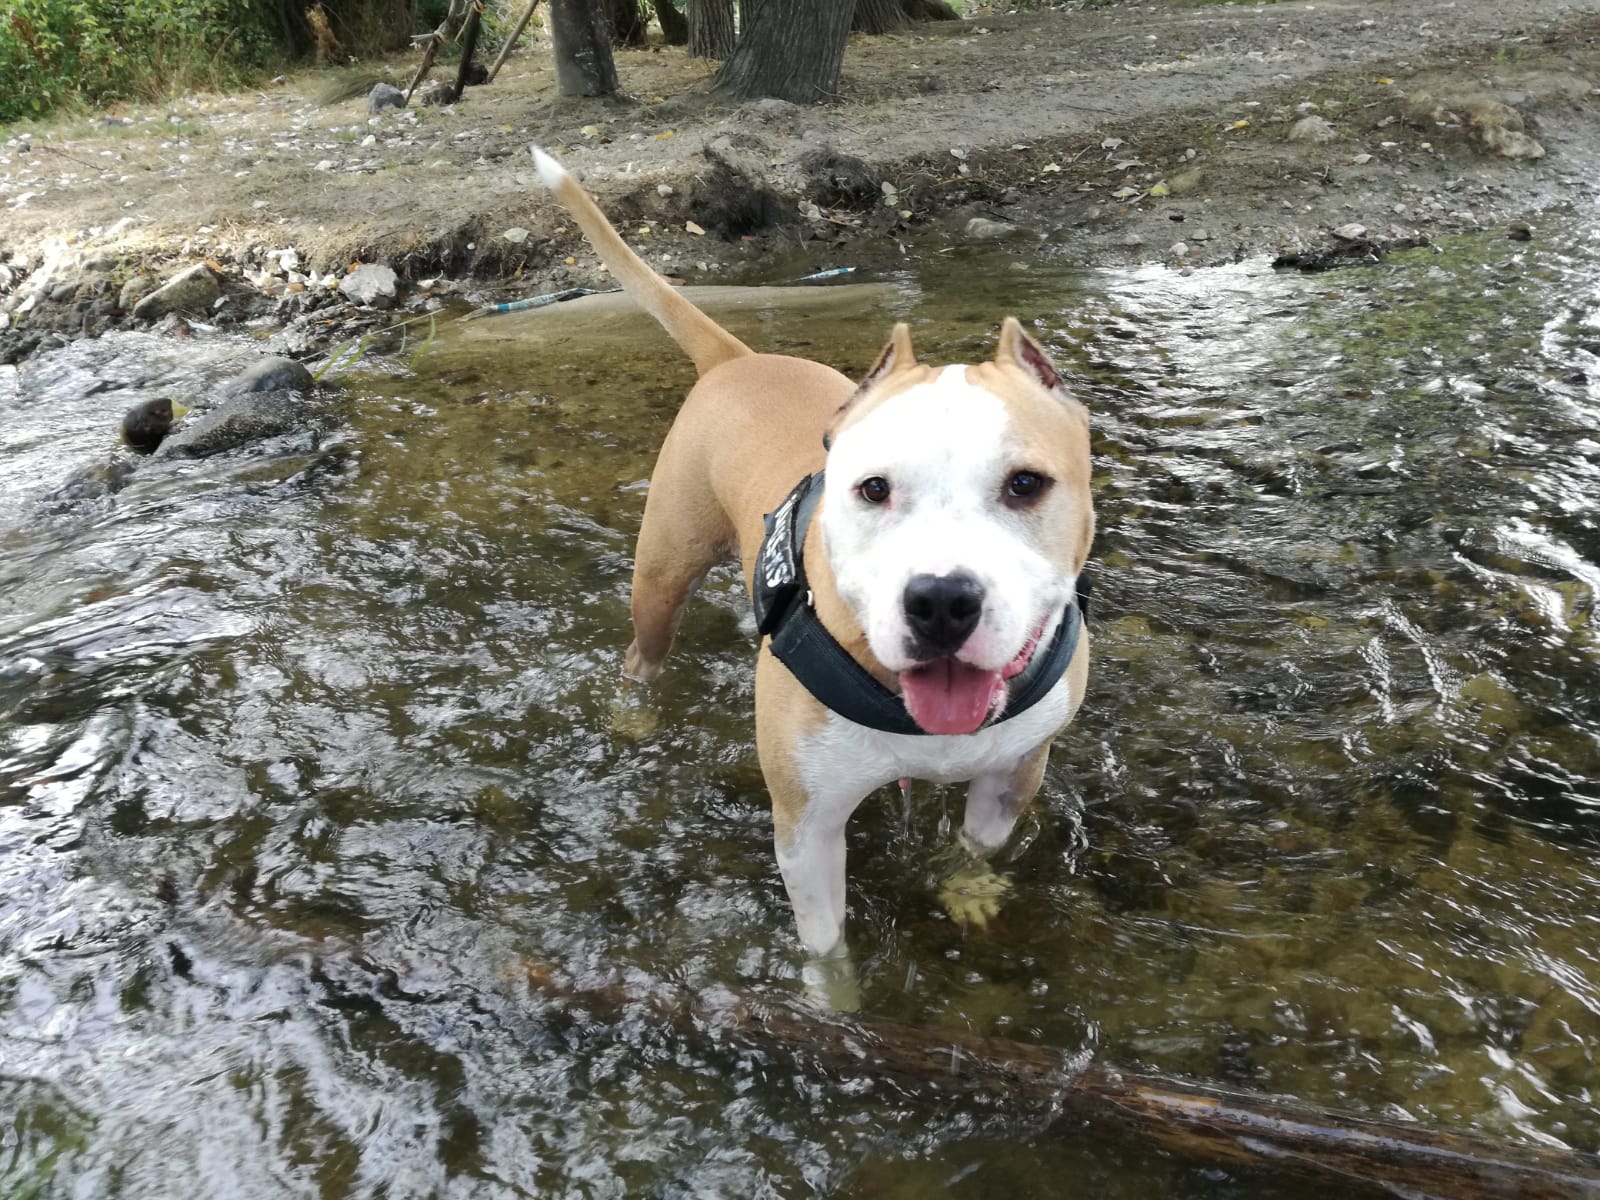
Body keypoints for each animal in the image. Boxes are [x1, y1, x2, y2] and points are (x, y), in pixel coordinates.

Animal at [532, 147, 1094, 976]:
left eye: (1026, 484)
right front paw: (839, 998)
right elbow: (828, 949)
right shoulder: (808, 825)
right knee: (643, 652)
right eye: (872, 488)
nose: (941, 601)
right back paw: (633, 715)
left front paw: (969, 895)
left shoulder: (1015, 773)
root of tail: (736, 359)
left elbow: (975, 849)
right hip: (661, 573)